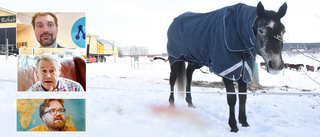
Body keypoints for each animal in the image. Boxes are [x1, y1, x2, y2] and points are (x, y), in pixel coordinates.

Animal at [166, 1, 286, 133]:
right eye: (261, 30)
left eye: (283, 31)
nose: (276, 65)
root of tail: (175, 21)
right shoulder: (227, 70)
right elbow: (232, 98)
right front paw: (233, 126)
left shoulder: (245, 71)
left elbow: (243, 97)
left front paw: (244, 123)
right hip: (175, 59)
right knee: (172, 79)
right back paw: (171, 104)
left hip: (194, 60)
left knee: (188, 75)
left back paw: (190, 103)